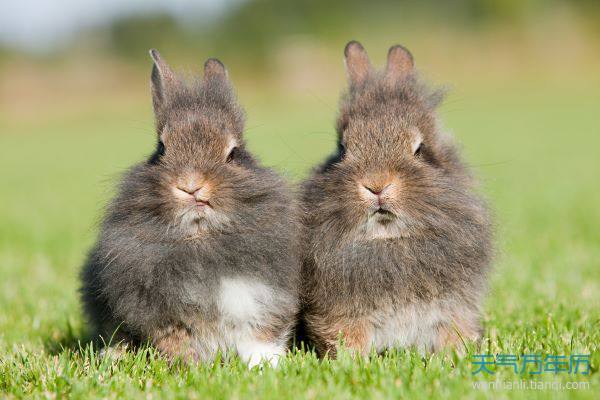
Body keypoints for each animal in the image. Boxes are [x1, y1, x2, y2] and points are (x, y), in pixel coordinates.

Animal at [81, 50, 300, 368]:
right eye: (161, 149)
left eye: (233, 154)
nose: (191, 185)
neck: (200, 237)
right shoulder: (163, 317)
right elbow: (176, 342)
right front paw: (191, 367)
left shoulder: (265, 302)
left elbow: (260, 339)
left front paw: (265, 366)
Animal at [300, 42, 492, 358]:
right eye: (342, 148)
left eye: (420, 149)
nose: (377, 185)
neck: (388, 238)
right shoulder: (342, 318)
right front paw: (351, 362)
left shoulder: (453, 311)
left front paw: (454, 357)